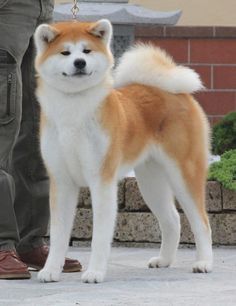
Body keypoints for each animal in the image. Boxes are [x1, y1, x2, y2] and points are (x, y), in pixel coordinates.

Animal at [33, 18, 212, 282]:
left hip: (184, 173)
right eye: (65, 52)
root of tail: (178, 93)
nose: (79, 62)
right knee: (172, 220)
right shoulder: (62, 182)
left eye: (86, 51)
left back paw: (204, 263)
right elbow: (57, 236)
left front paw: (95, 272)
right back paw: (164, 260)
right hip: (151, 182)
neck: (73, 109)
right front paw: (51, 270)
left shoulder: (101, 180)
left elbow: (99, 237)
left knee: (201, 222)